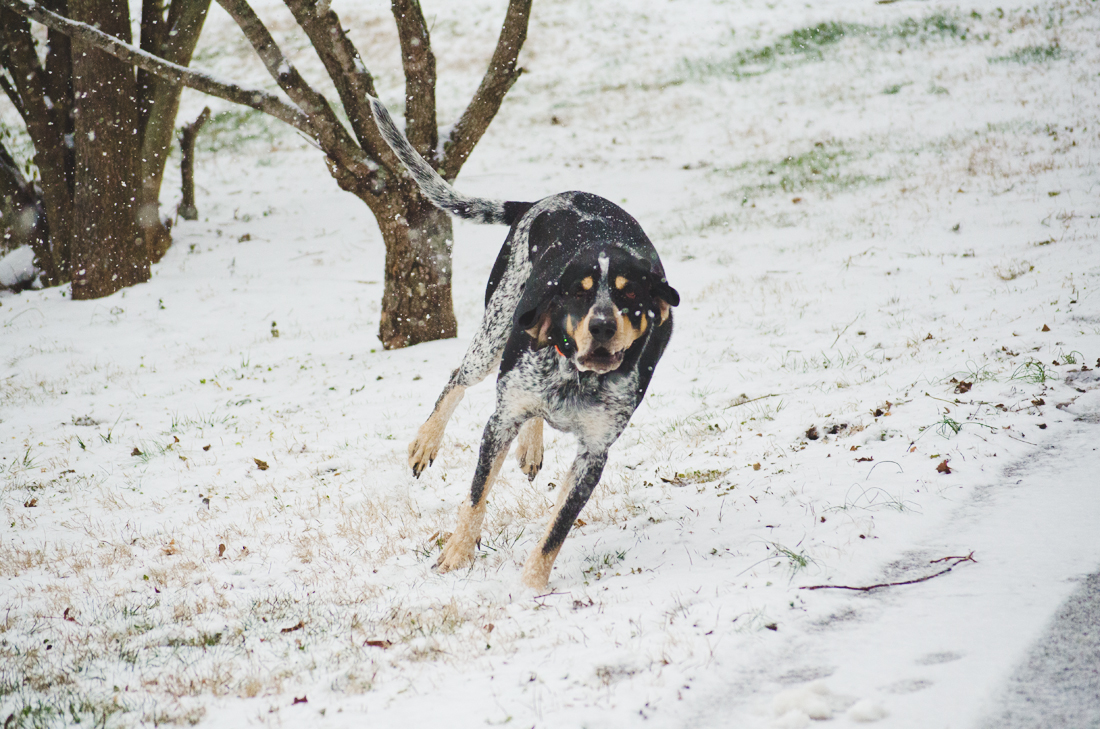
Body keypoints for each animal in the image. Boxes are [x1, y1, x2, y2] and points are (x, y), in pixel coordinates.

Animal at [369, 96, 677, 589]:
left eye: (630, 295)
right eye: (578, 292)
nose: (602, 326)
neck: (575, 377)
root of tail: (539, 201)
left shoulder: (594, 454)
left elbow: (556, 531)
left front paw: (531, 589)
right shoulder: (498, 423)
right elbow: (475, 498)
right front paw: (454, 558)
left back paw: (531, 446)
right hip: (495, 331)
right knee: (458, 377)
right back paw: (427, 441)